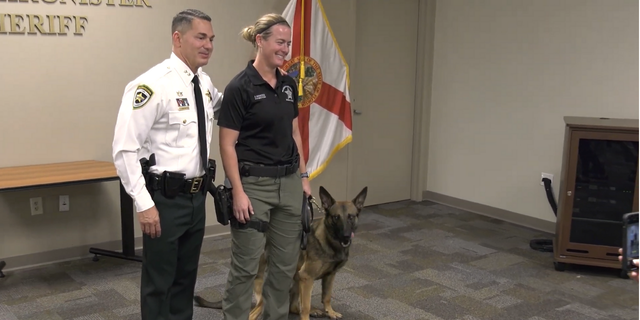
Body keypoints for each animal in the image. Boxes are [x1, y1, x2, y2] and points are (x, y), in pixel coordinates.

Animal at [192, 185, 368, 320]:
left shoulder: (330, 276)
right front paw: (309, 314)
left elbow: (327, 296)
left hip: (295, 280)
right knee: (255, 313)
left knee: (292, 306)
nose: (346, 236)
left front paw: (329, 312)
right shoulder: (307, 277)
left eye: (351, 217)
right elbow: (305, 306)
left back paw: (315, 311)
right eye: (336, 217)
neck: (331, 242)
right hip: (278, 286)